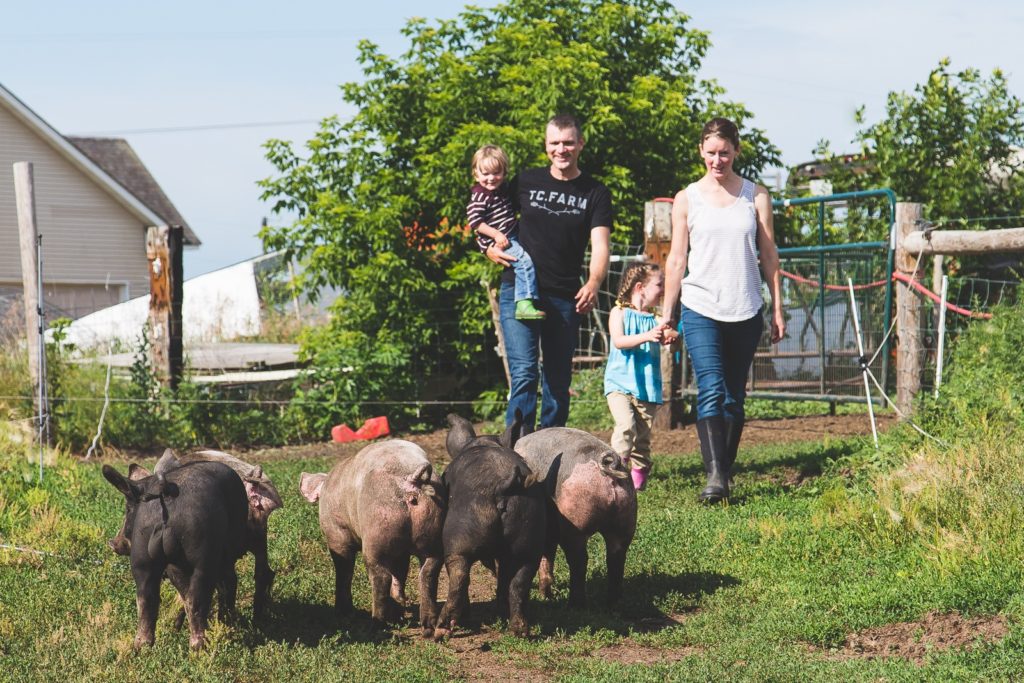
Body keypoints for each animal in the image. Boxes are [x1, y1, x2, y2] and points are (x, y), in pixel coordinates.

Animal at [101, 462, 249, 651]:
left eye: (128, 508)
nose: (113, 543)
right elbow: (227, 584)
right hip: (202, 553)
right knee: (197, 599)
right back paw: (199, 646)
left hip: (142, 556)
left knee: (147, 599)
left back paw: (143, 647)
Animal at [294, 438, 442, 634]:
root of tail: (411, 480)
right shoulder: (400, 551)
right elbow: (400, 571)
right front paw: (400, 606)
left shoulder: (336, 532)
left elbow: (344, 569)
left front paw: (343, 613)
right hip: (433, 529)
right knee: (427, 572)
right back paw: (426, 628)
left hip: (377, 531)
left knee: (381, 576)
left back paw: (376, 624)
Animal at [436, 413, 548, 643]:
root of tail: (503, 486)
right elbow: (504, 575)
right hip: (529, 536)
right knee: (518, 584)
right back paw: (519, 630)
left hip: (460, 535)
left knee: (459, 577)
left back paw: (441, 631)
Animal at [516, 428, 634, 610]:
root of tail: (608, 469)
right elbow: (547, 555)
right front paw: (546, 597)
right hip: (625, 520)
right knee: (616, 559)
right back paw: (612, 604)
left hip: (574, 524)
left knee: (579, 561)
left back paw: (574, 605)